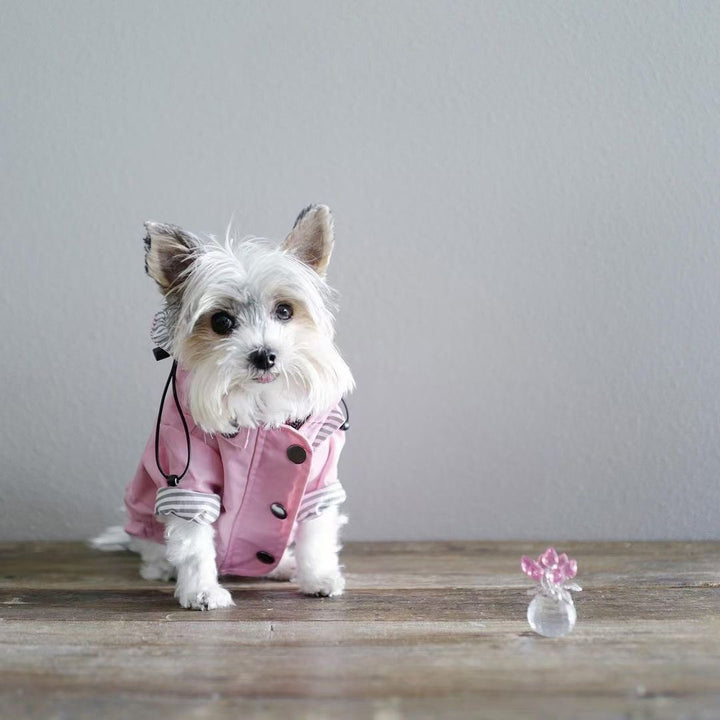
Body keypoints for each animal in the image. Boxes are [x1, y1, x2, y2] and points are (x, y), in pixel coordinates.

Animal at [95, 205, 354, 612]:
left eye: (284, 311)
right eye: (221, 321)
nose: (264, 355)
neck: (260, 403)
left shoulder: (319, 477)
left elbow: (317, 533)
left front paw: (319, 577)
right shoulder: (188, 479)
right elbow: (193, 543)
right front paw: (201, 590)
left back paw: (282, 565)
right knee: (153, 548)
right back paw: (162, 568)